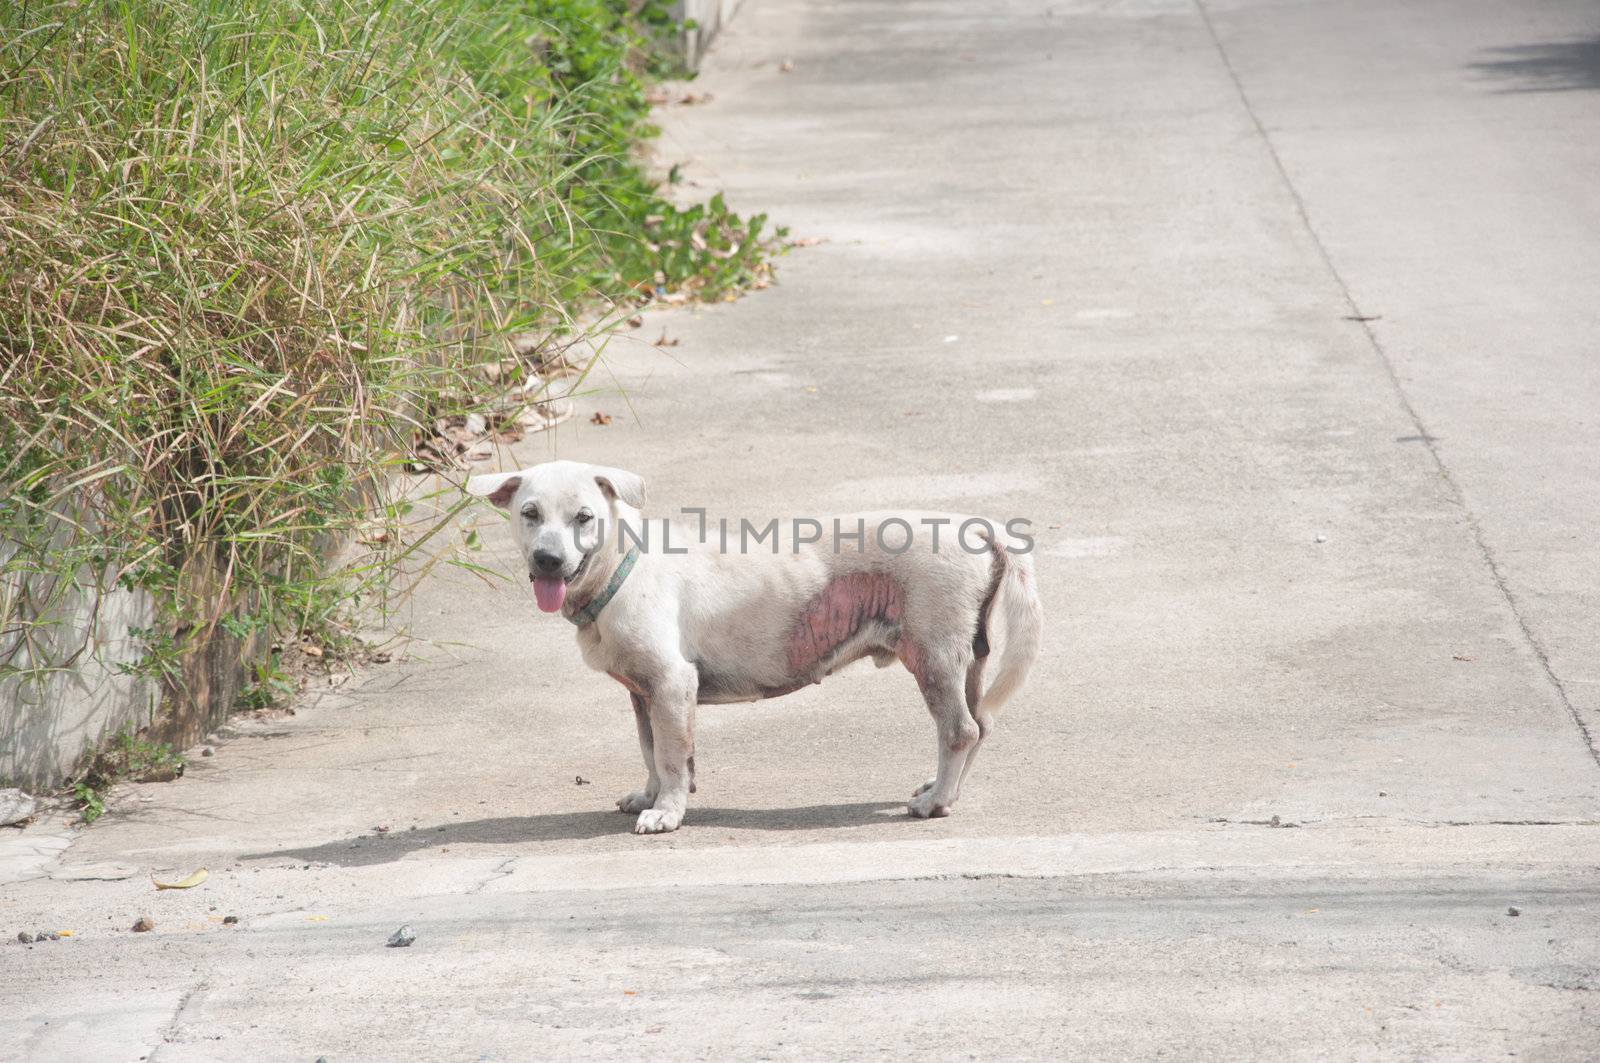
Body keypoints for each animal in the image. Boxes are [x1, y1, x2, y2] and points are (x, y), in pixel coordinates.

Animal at [467, 461, 1043, 832]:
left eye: (584, 517)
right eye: (529, 513)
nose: (546, 559)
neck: (622, 566)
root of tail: (979, 528)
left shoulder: (671, 684)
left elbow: (672, 755)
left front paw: (667, 812)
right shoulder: (642, 693)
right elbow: (651, 750)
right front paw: (649, 795)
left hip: (934, 655)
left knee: (959, 730)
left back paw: (937, 803)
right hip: (969, 656)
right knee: (980, 724)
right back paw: (944, 791)